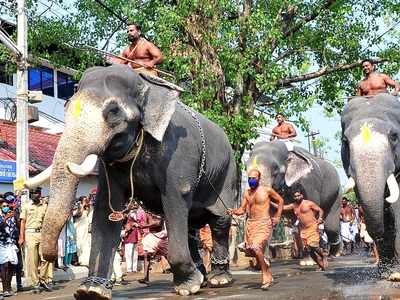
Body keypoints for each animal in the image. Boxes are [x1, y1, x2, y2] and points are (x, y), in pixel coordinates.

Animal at [27, 64, 238, 298]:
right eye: (66, 106)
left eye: (113, 111)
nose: (51, 258)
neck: (146, 85)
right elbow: (105, 211)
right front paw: (91, 291)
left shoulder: (178, 154)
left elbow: (175, 201)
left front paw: (187, 287)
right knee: (191, 226)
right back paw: (202, 277)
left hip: (228, 172)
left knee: (219, 220)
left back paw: (218, 279)